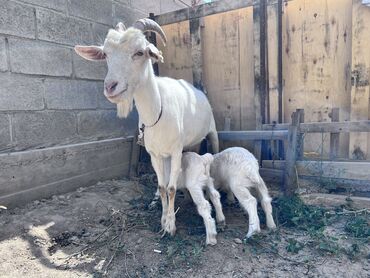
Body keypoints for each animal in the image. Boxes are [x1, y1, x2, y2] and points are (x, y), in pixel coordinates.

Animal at [75, 18, 220, 236]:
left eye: (139, 52)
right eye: (106, 54)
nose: (110, 87)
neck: (157, 111)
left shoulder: (175, 151)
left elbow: (171, 188)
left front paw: (171, 226)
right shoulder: (155, 154)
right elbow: (162, 187)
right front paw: (163, 219)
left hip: (212, 131)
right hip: (183, 145)